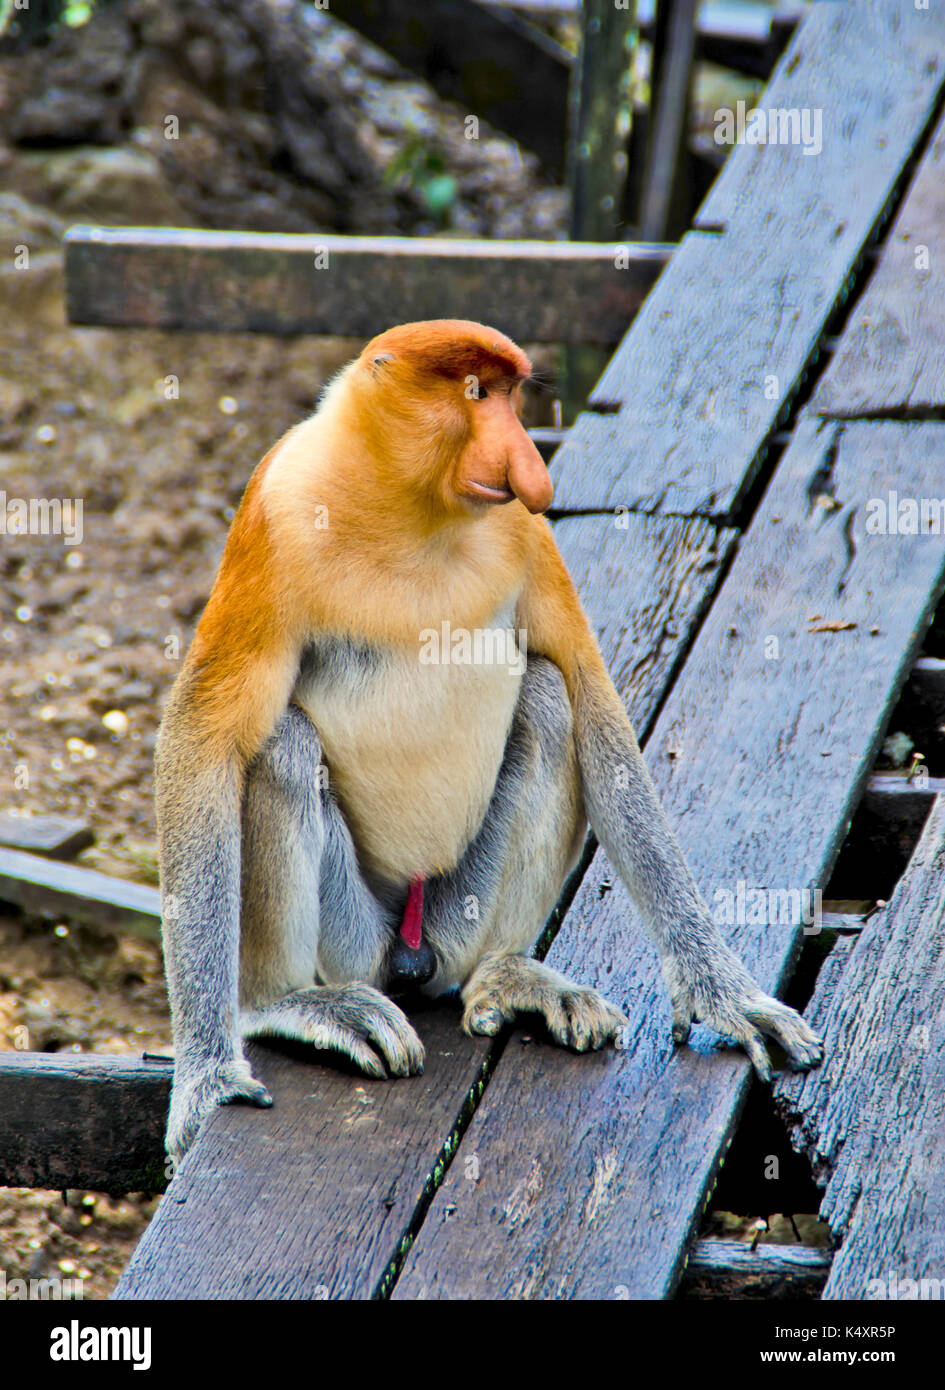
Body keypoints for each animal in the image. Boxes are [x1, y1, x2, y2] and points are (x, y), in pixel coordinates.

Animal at [157, 319, 823, 1161]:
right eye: (474, 393)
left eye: (509, 395)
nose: (525, 463)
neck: (410, 514)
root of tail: (407, 952)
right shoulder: (272, 521)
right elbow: (202, 742)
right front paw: (207, 1077)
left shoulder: (525, 535)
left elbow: (591, 703)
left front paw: (724, 995)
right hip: (354, 941)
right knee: (281, 749)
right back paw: (292, 1003)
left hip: (456, 919)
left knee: (546, 699)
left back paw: (509, 979)